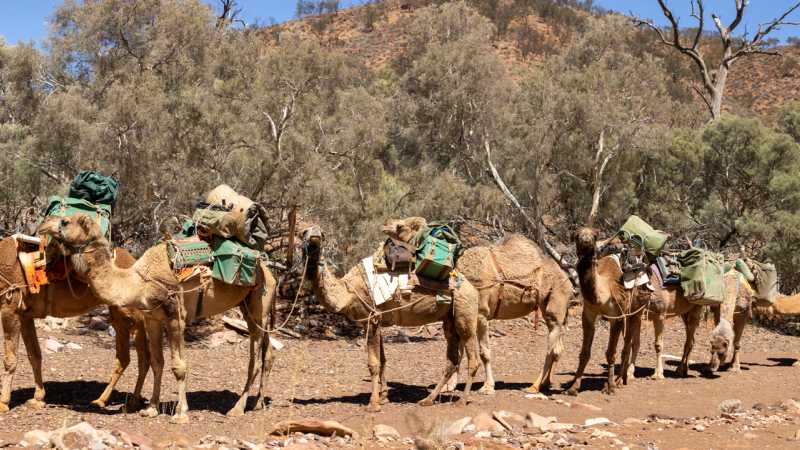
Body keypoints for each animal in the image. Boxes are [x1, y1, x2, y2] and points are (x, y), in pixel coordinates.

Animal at [0, 231, 149, 413]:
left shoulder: (10, 308)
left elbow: (10, 359)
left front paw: (3, 403)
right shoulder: (25, 315)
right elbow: (34, 355)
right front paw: (38, 399)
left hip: (133, 313)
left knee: (145, 355)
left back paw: (134, 402)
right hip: (118, 315)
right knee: (125, 357)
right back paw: (103, 401)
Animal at [43, 213, 277, 423]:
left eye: (65, 221)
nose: (45, 224)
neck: (139, 282)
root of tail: (270, 272)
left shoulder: (176, 316)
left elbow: (178, 366)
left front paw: (181, 414)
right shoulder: (152, 319)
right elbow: (157, 362)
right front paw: (151, 409)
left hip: (259, 304)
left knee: (255, 360)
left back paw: (237, 409)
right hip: (249, 308)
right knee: (268, 353)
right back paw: (259, 404)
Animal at [299, 226, 481, 412]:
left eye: (322, 234)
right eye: (303, 232)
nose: (315, 234)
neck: (347, 293)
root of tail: (472, 287)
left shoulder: (370, 318)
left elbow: (373, 364)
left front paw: (373, 404)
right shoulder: (377, 320)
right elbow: (383, 360)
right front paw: (384, 397)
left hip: (465, 311)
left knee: (473, 357)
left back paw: (462, 401)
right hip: (449, 319)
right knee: (451, 360)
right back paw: (428, 399)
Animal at [380, 218, 572, 395]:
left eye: (400, 226)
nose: (384, 225)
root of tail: (567, 278)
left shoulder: (480, 315)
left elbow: (484, 353)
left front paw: (487, 387)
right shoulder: (458, 315)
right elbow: (458, 351)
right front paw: (449, 386)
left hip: (556, 302)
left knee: (551, 348)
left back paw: (535, 386)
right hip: (552, 310)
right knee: (558, 347)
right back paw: (546, 384)